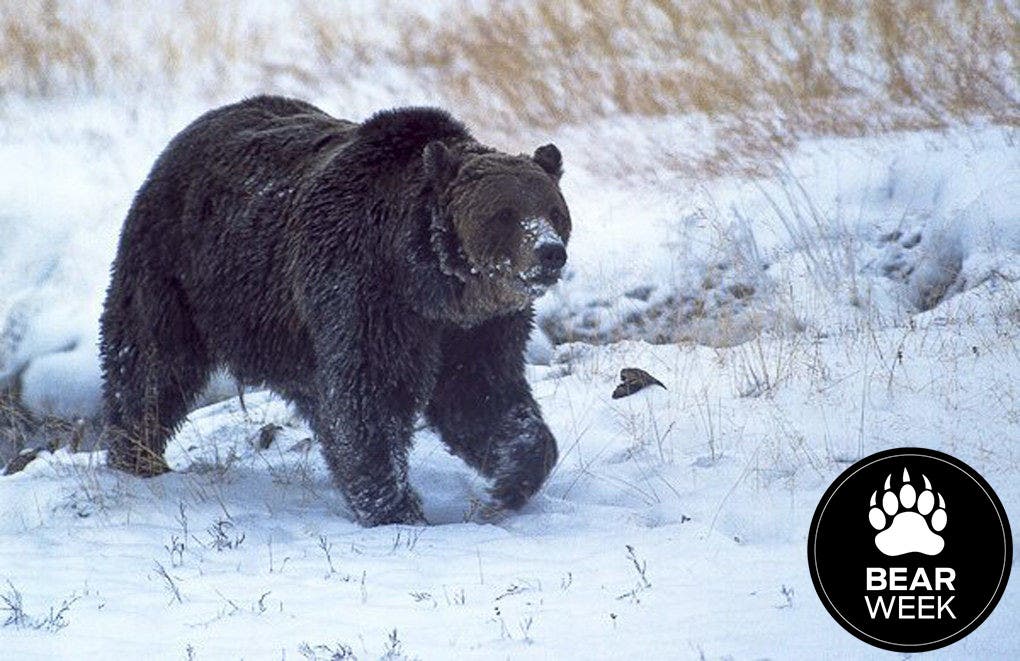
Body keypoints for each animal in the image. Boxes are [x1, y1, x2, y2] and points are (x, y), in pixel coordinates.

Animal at [99, 95, 571, 526]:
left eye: (554, 210)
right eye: (504, 213)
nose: (550, 252)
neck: (433, 287)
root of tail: (191, 131)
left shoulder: (478, 328)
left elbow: (482, 395)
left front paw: (510, 480)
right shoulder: (365, 292)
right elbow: (370, 395)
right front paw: (395, 507)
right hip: (179, 270)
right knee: (151, 361)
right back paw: (137, 456)